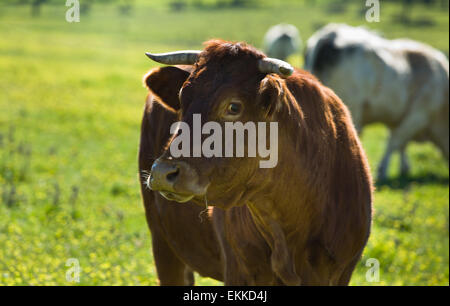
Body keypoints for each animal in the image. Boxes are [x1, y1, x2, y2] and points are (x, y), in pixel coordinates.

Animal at [304, 24, 448, 182]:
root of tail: (330, 34)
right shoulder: (418, 114)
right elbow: (394, 142)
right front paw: (383, 170)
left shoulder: (399, 119)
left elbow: (401, 144)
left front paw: (404, 168)